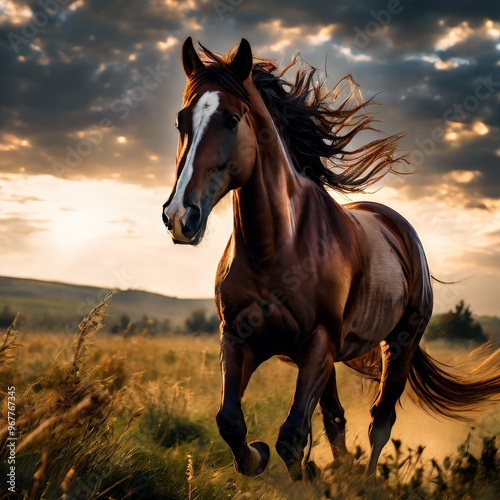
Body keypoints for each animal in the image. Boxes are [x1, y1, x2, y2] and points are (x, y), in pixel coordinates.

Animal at [162, 39, 498, 480]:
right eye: (181, 120)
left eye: (232, 119)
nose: (179, 216)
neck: (276, 248)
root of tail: (397, 226)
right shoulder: (238, 338)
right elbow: (231, 422)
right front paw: (261, 456)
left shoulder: (318, 342)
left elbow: (291, 437)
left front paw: (303, 473)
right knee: (336, 418)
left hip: (399, 345)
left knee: (379, 421)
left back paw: (366, 480)